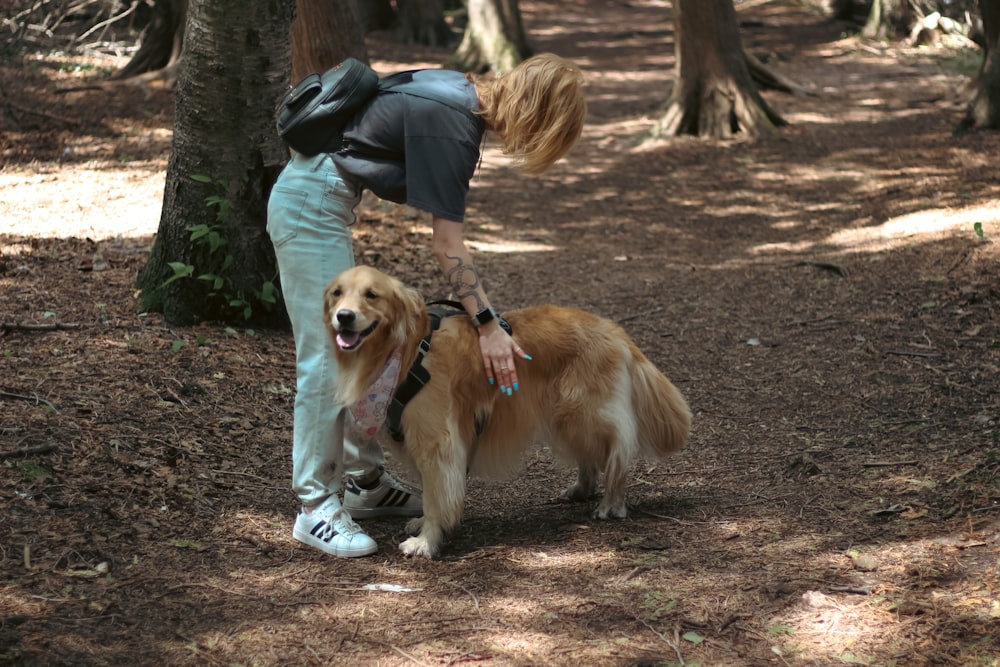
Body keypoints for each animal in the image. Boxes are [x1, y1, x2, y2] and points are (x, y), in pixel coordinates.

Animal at [324, 266, 692, 560]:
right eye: (337, 293)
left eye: (371, 294)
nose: (344, 316)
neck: (409, 351)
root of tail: (613, 329)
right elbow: (433, 493)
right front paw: (424, 526)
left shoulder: (438, 443)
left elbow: (437, 496)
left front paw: (427, 541)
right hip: (565, 415)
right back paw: (582, 489)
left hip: (585, 412)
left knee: (619, 451)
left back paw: (611, 502)